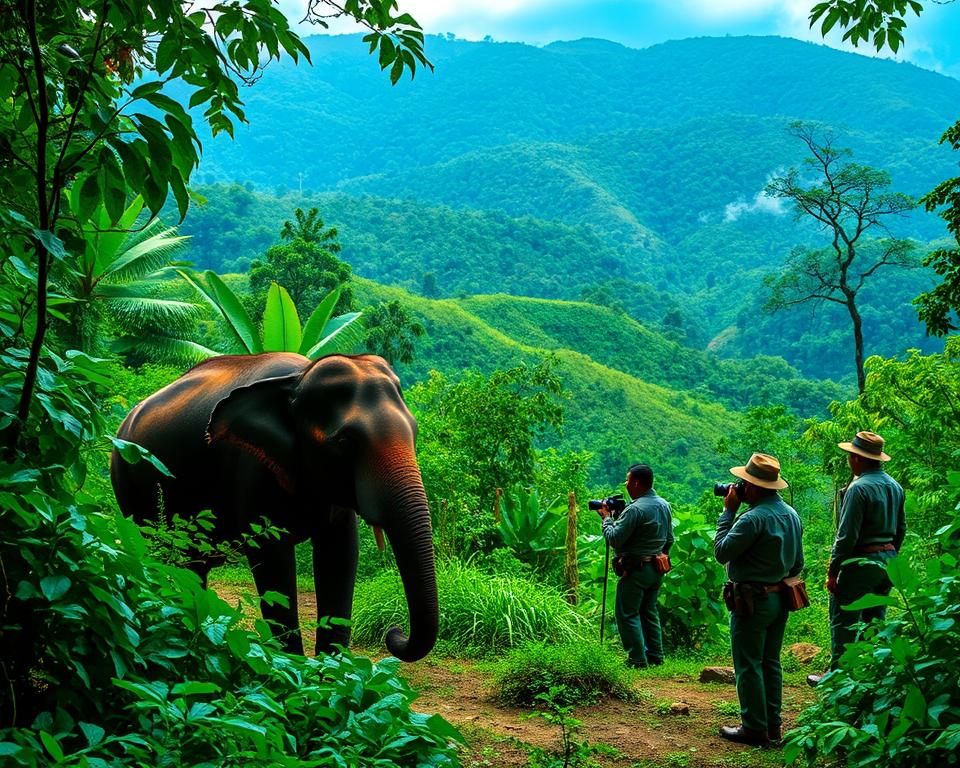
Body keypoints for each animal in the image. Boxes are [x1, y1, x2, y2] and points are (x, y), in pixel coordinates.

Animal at [110, 352, 437, 662]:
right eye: (345, 443)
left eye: (415, 431)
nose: (394, 633)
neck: (299, 377)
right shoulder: (253, 468)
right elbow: (272, 558)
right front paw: (293, 671)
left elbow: (341, 553)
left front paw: (332, 673)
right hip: (128, 480)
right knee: (156, 552)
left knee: (194, 566)